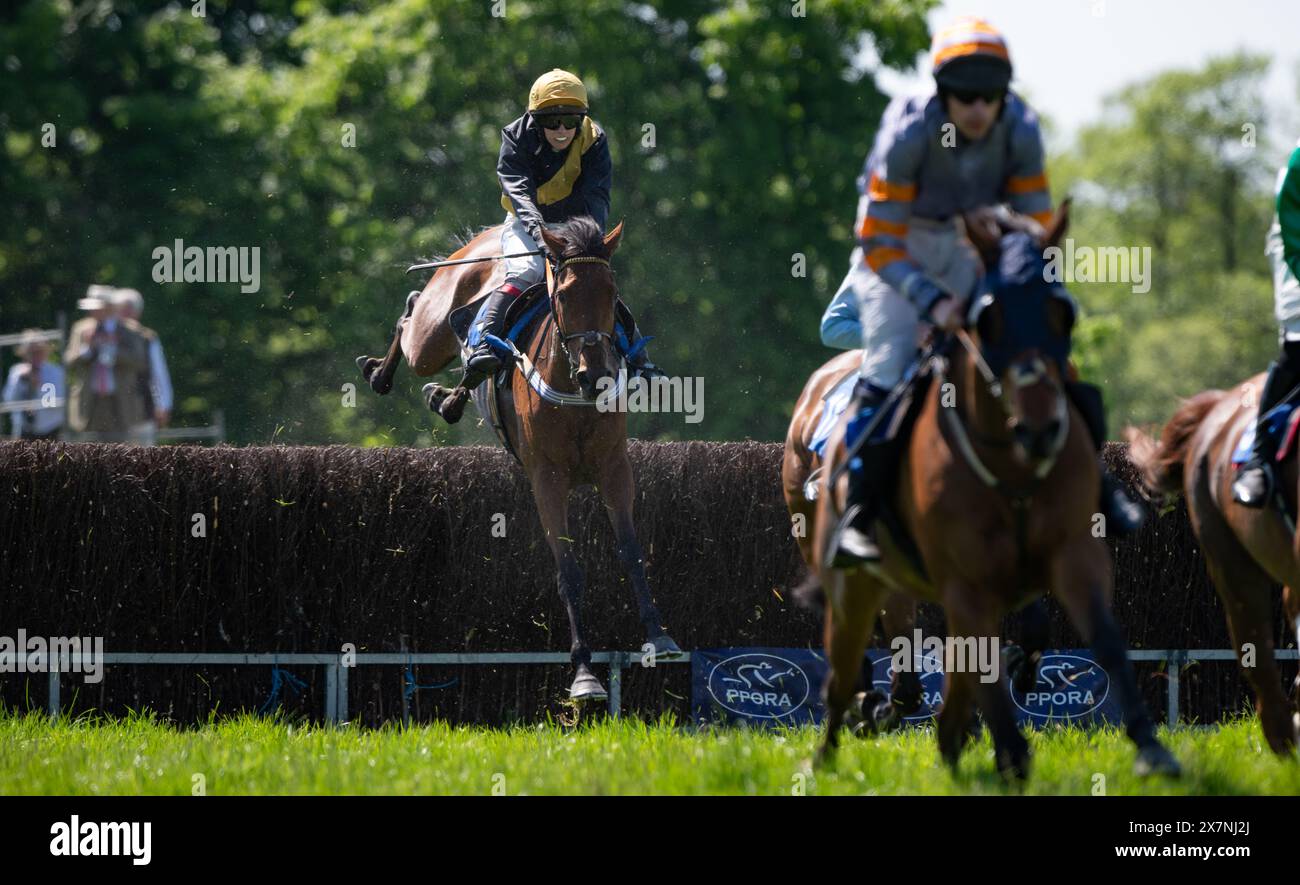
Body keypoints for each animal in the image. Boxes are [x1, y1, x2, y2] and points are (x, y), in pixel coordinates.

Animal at [356, 217, 681, 701]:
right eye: (562, 294)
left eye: (612, 293)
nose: (596, 376)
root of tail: (488, 234)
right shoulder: (547, 477)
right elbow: (569, 573)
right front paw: (584, 675)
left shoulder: (614, 469)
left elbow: (632, 552)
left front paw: (659, 637)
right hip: (431, 337)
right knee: (411, 315)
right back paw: (379, 370)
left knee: (461, 373)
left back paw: (445, 398)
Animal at [800, 206, 1180, 779]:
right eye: (988, 318)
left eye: (1064, 313)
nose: (1041, 426)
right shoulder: (965, 580)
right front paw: (1005, 747)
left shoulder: (1071, 552)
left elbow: (1096, 639)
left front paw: (1149, 746)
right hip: (854, 586)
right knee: (843, 673)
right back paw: (842, 741)